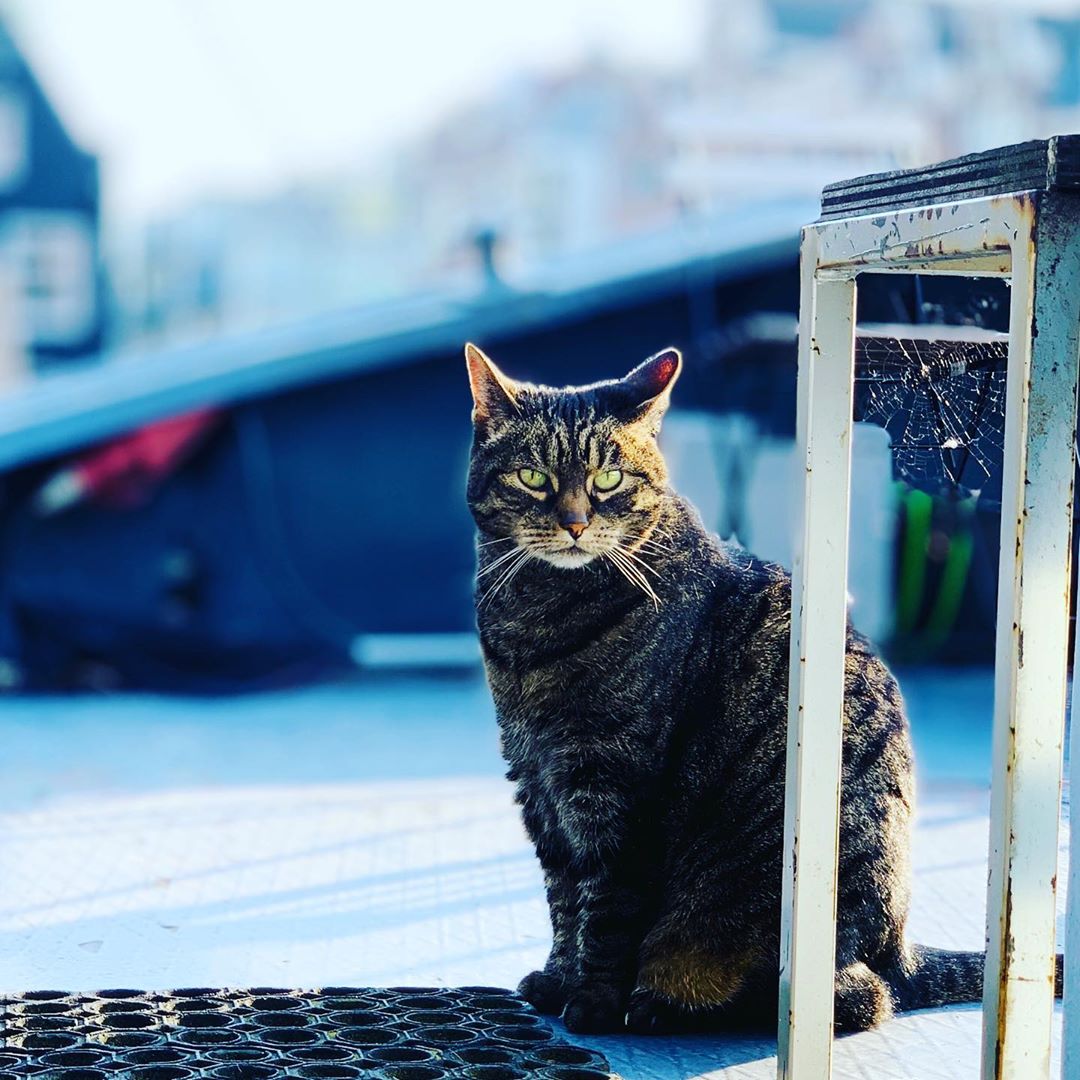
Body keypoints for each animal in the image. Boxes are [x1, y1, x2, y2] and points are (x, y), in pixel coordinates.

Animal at [464, 341, 1060, 1036]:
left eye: (607, 481)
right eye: (533, 478)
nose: (575, 524)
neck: (534, 620)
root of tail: (901, 949)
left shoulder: (615, 787)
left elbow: (606, 908)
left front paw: (591, 1001)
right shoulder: (537, 781)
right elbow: (562, 898)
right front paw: (557, 978)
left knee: (857, 999)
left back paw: (666, 1005)